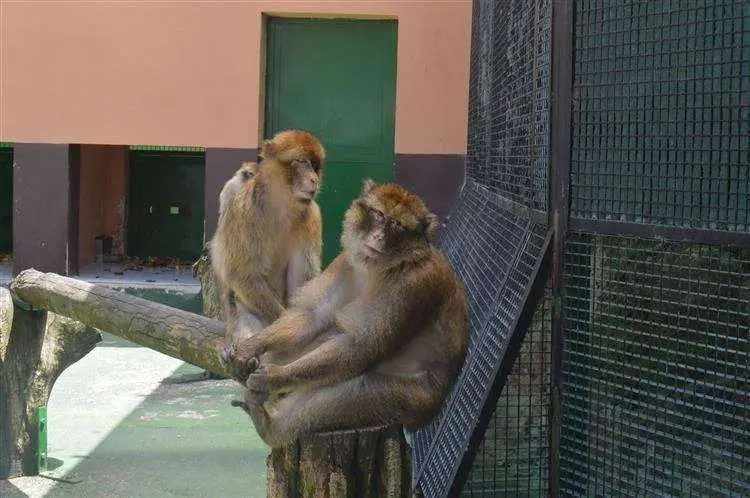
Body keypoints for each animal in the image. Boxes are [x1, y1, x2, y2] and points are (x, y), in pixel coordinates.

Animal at [209, 130, 325, 366]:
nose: (314, 179)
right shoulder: (245, 210)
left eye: (316, 165)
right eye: (302, 162)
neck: (282, 205)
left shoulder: (312, 217)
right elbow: (242, 274)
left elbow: (301, 284)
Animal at [224, 179, 470, 448]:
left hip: (417, 399)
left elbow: (361, 347)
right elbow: (313, 316)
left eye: (397, 225)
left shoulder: (413, 286)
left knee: (358, 389)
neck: (383, 268)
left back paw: (269, 427)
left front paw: (274, 377)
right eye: (378, 215)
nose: (379, 236)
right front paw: (249, 348)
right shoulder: (347, 263)